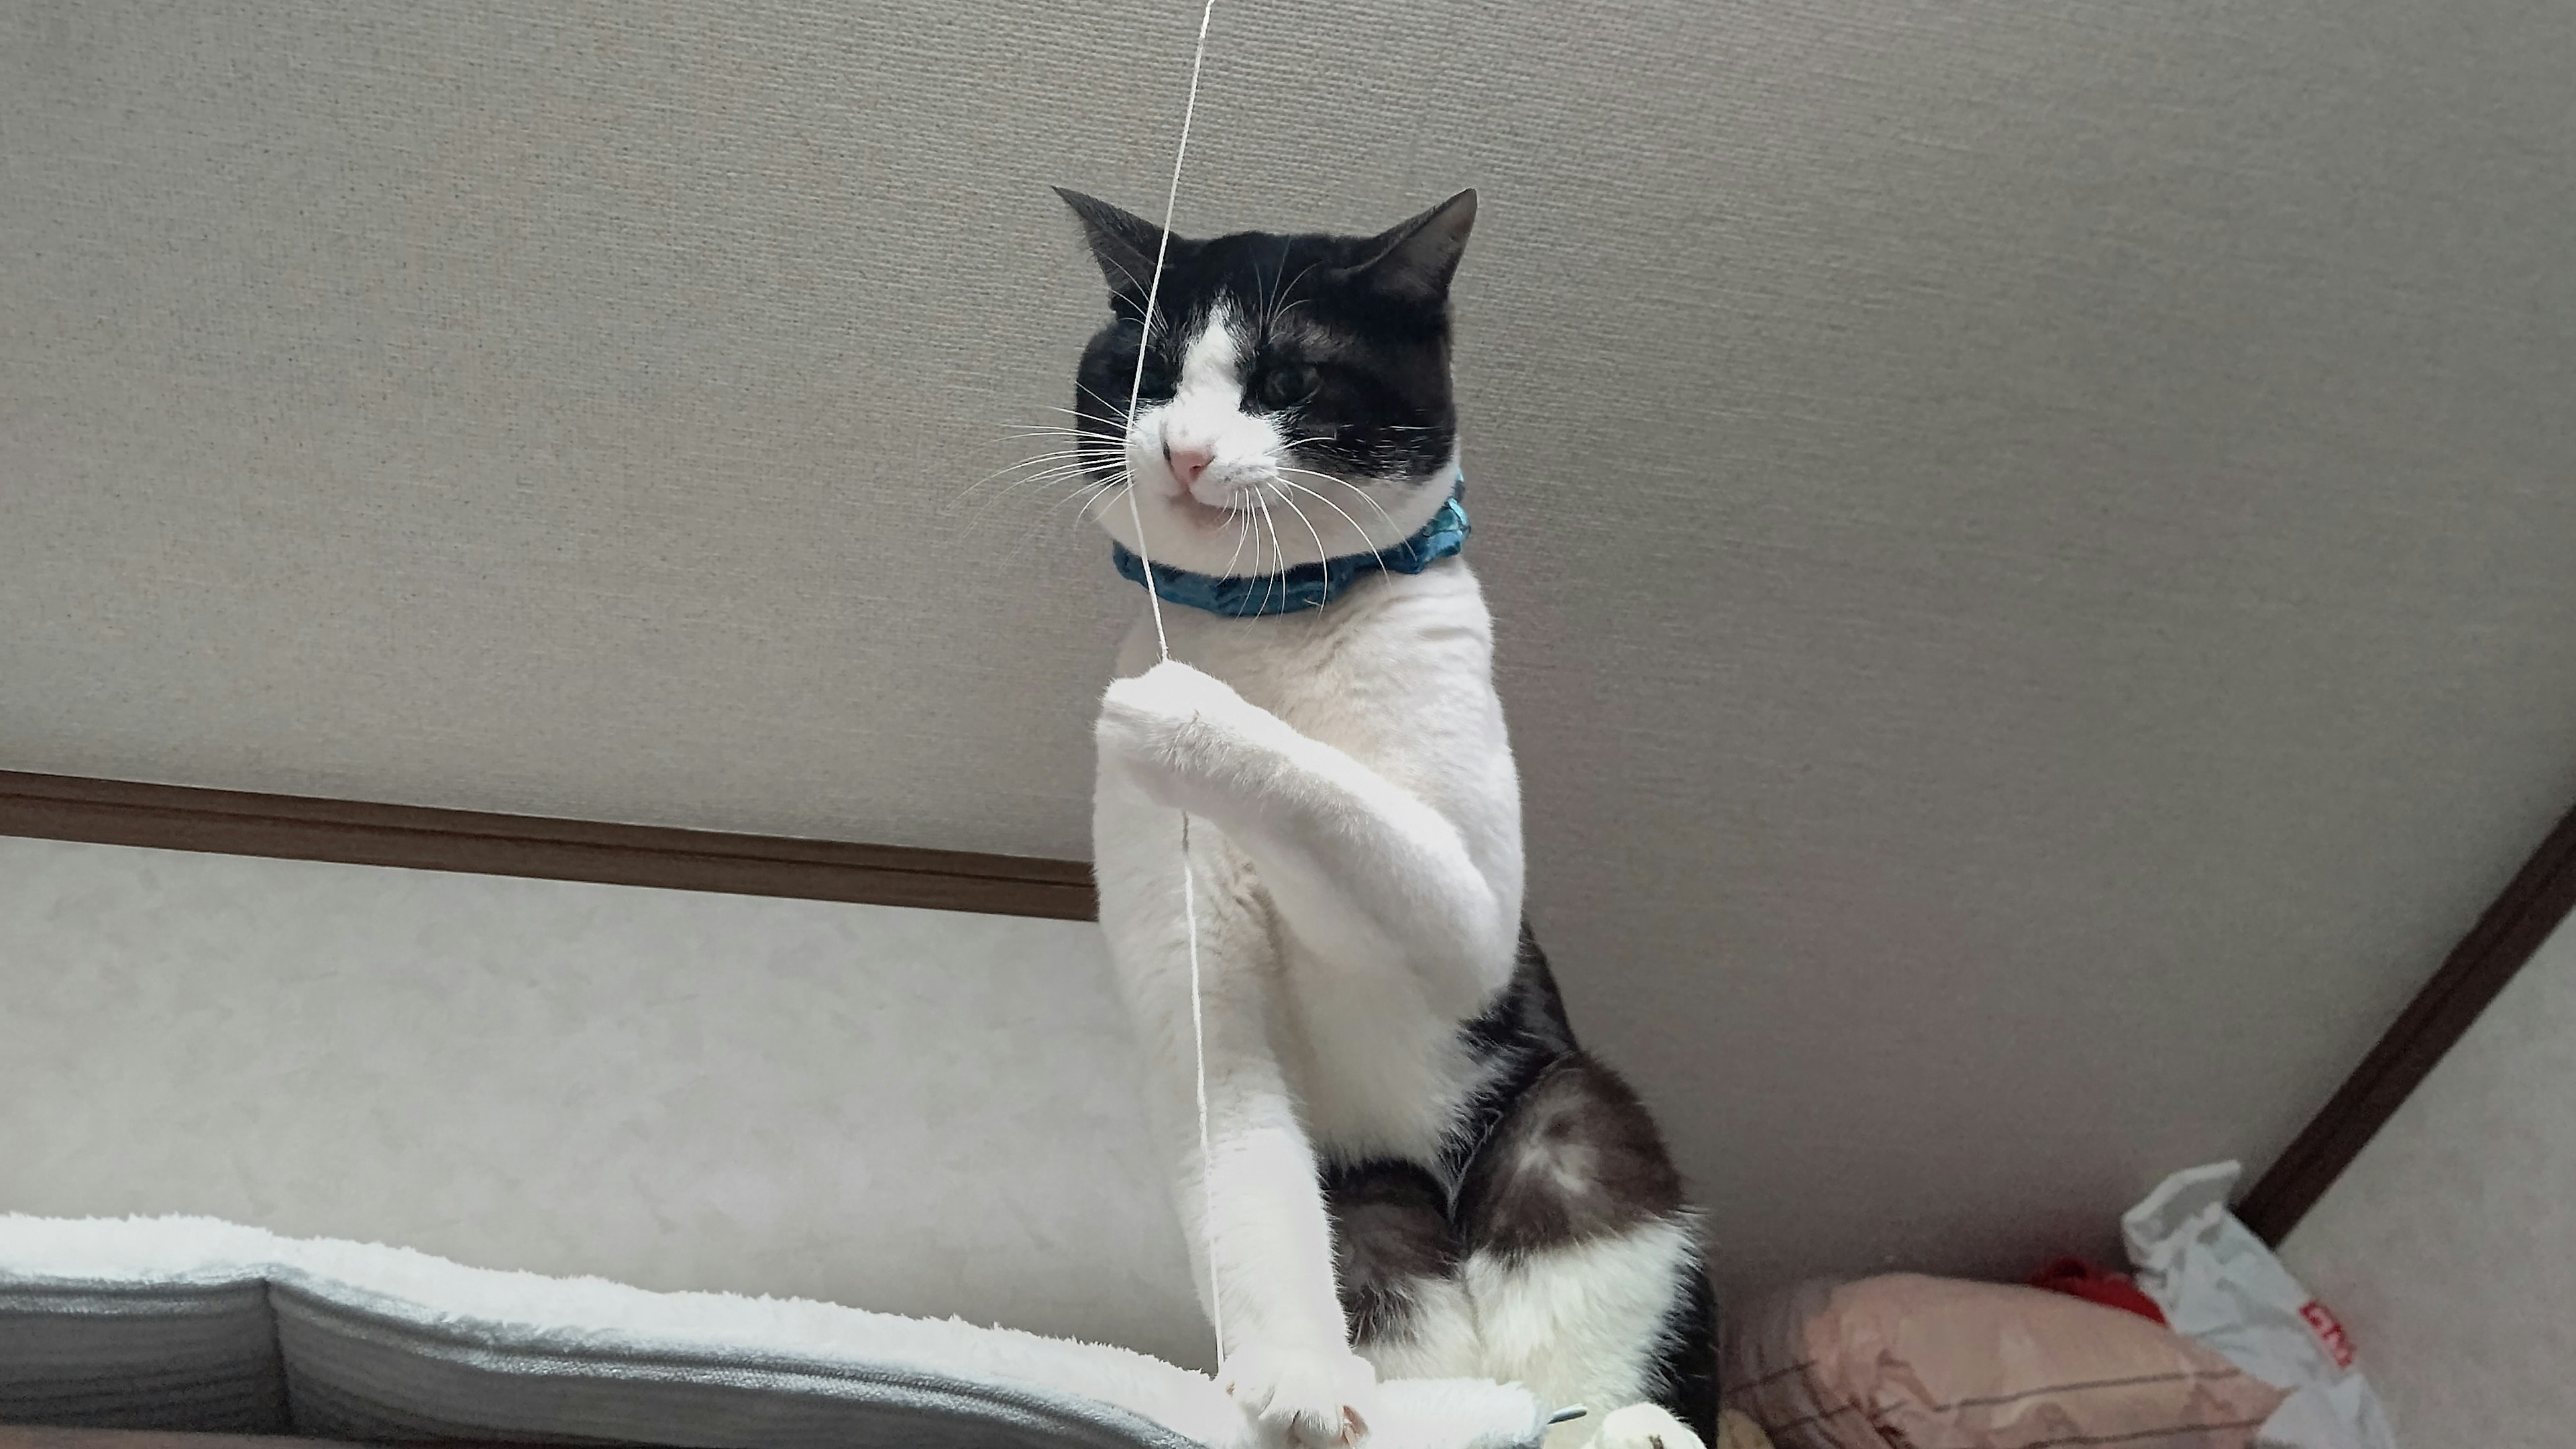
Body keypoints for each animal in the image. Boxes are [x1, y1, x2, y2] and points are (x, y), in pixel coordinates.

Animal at [1056, 192, 1721, 1444]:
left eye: (1285, 378)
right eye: (1149, 374)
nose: (1184, 449)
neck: (1273, 622)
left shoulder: (1469, 916)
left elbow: (1362, 820)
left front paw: (1191, 720)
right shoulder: (1193, 981)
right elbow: (1241, 1159)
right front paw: (1297, 1381)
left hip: (1564, 1119)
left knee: (1579, 1250)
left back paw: (1628, 1423)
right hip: (1366, 1210)